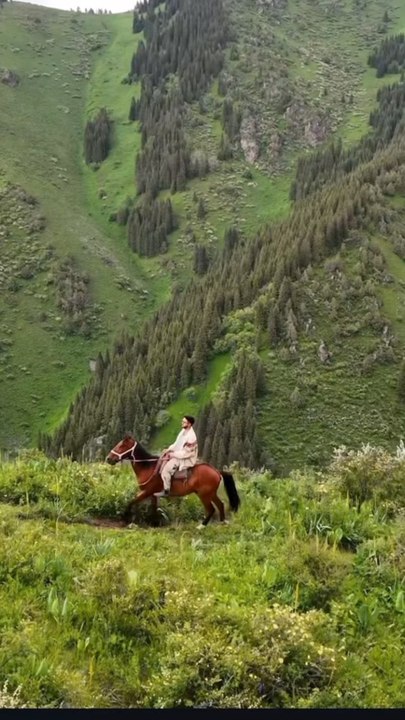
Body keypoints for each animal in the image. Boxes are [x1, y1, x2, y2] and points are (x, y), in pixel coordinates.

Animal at [106, 434, 240, 527]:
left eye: (122, 446)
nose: (108, 458)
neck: (148, 466)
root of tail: (216, 471)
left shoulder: (147, 492)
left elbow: (131, 502)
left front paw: (125, 518)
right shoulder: (153, 494)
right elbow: (153, 508)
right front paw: (154, 523)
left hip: (204, 495)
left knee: (211, 509)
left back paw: (202, 526)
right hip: (210, 493)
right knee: (220, 505)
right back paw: (222, 522)